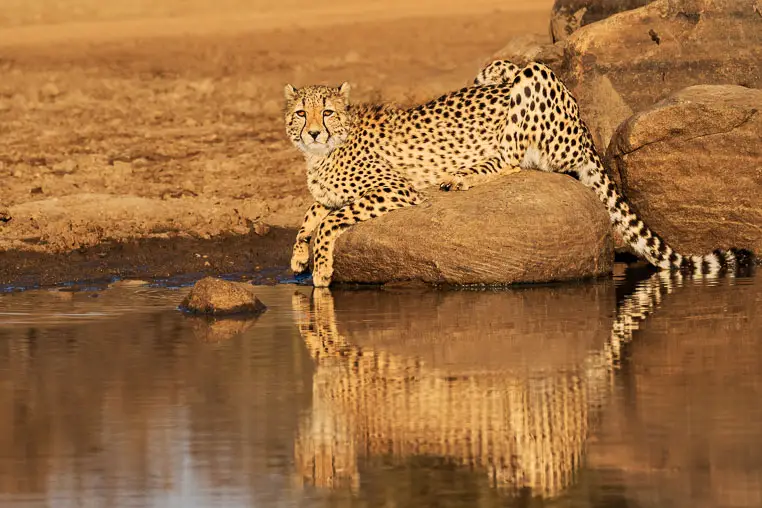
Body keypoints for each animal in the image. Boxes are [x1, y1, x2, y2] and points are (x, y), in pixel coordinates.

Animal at [284, 59, 755, 287]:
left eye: (327, 112)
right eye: (300, 113)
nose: (313, 132)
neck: (322, 153)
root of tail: (584, 125)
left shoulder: (396, 189)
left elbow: (330, 220)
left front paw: (320, 269)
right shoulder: (330, 192)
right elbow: (312, 211)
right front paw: (298, 255)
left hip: (531, 79)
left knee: (512, 158)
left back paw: (463, 175)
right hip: (494, 71)